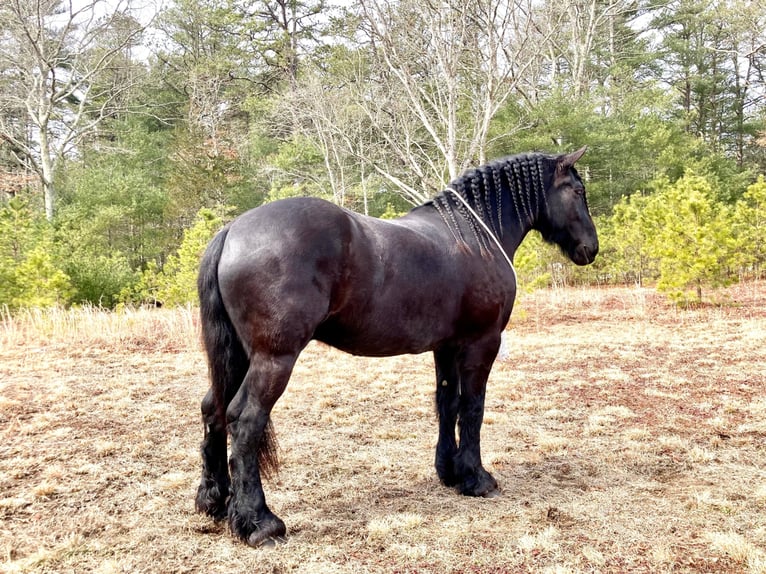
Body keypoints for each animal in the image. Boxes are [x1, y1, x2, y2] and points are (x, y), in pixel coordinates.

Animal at [194, 146, 600, 548]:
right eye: (578, 190)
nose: (591, 248)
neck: (474, 237)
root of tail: (232, 231)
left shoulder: (446, 347)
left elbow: (447, 403)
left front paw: (449, 472)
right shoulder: (481, 343)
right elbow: (473, 407)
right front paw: (477, 478)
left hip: (238, 357)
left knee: (214, 410)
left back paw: (216, 503)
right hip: (274, 359)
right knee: (245, 420)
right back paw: (259, 523)